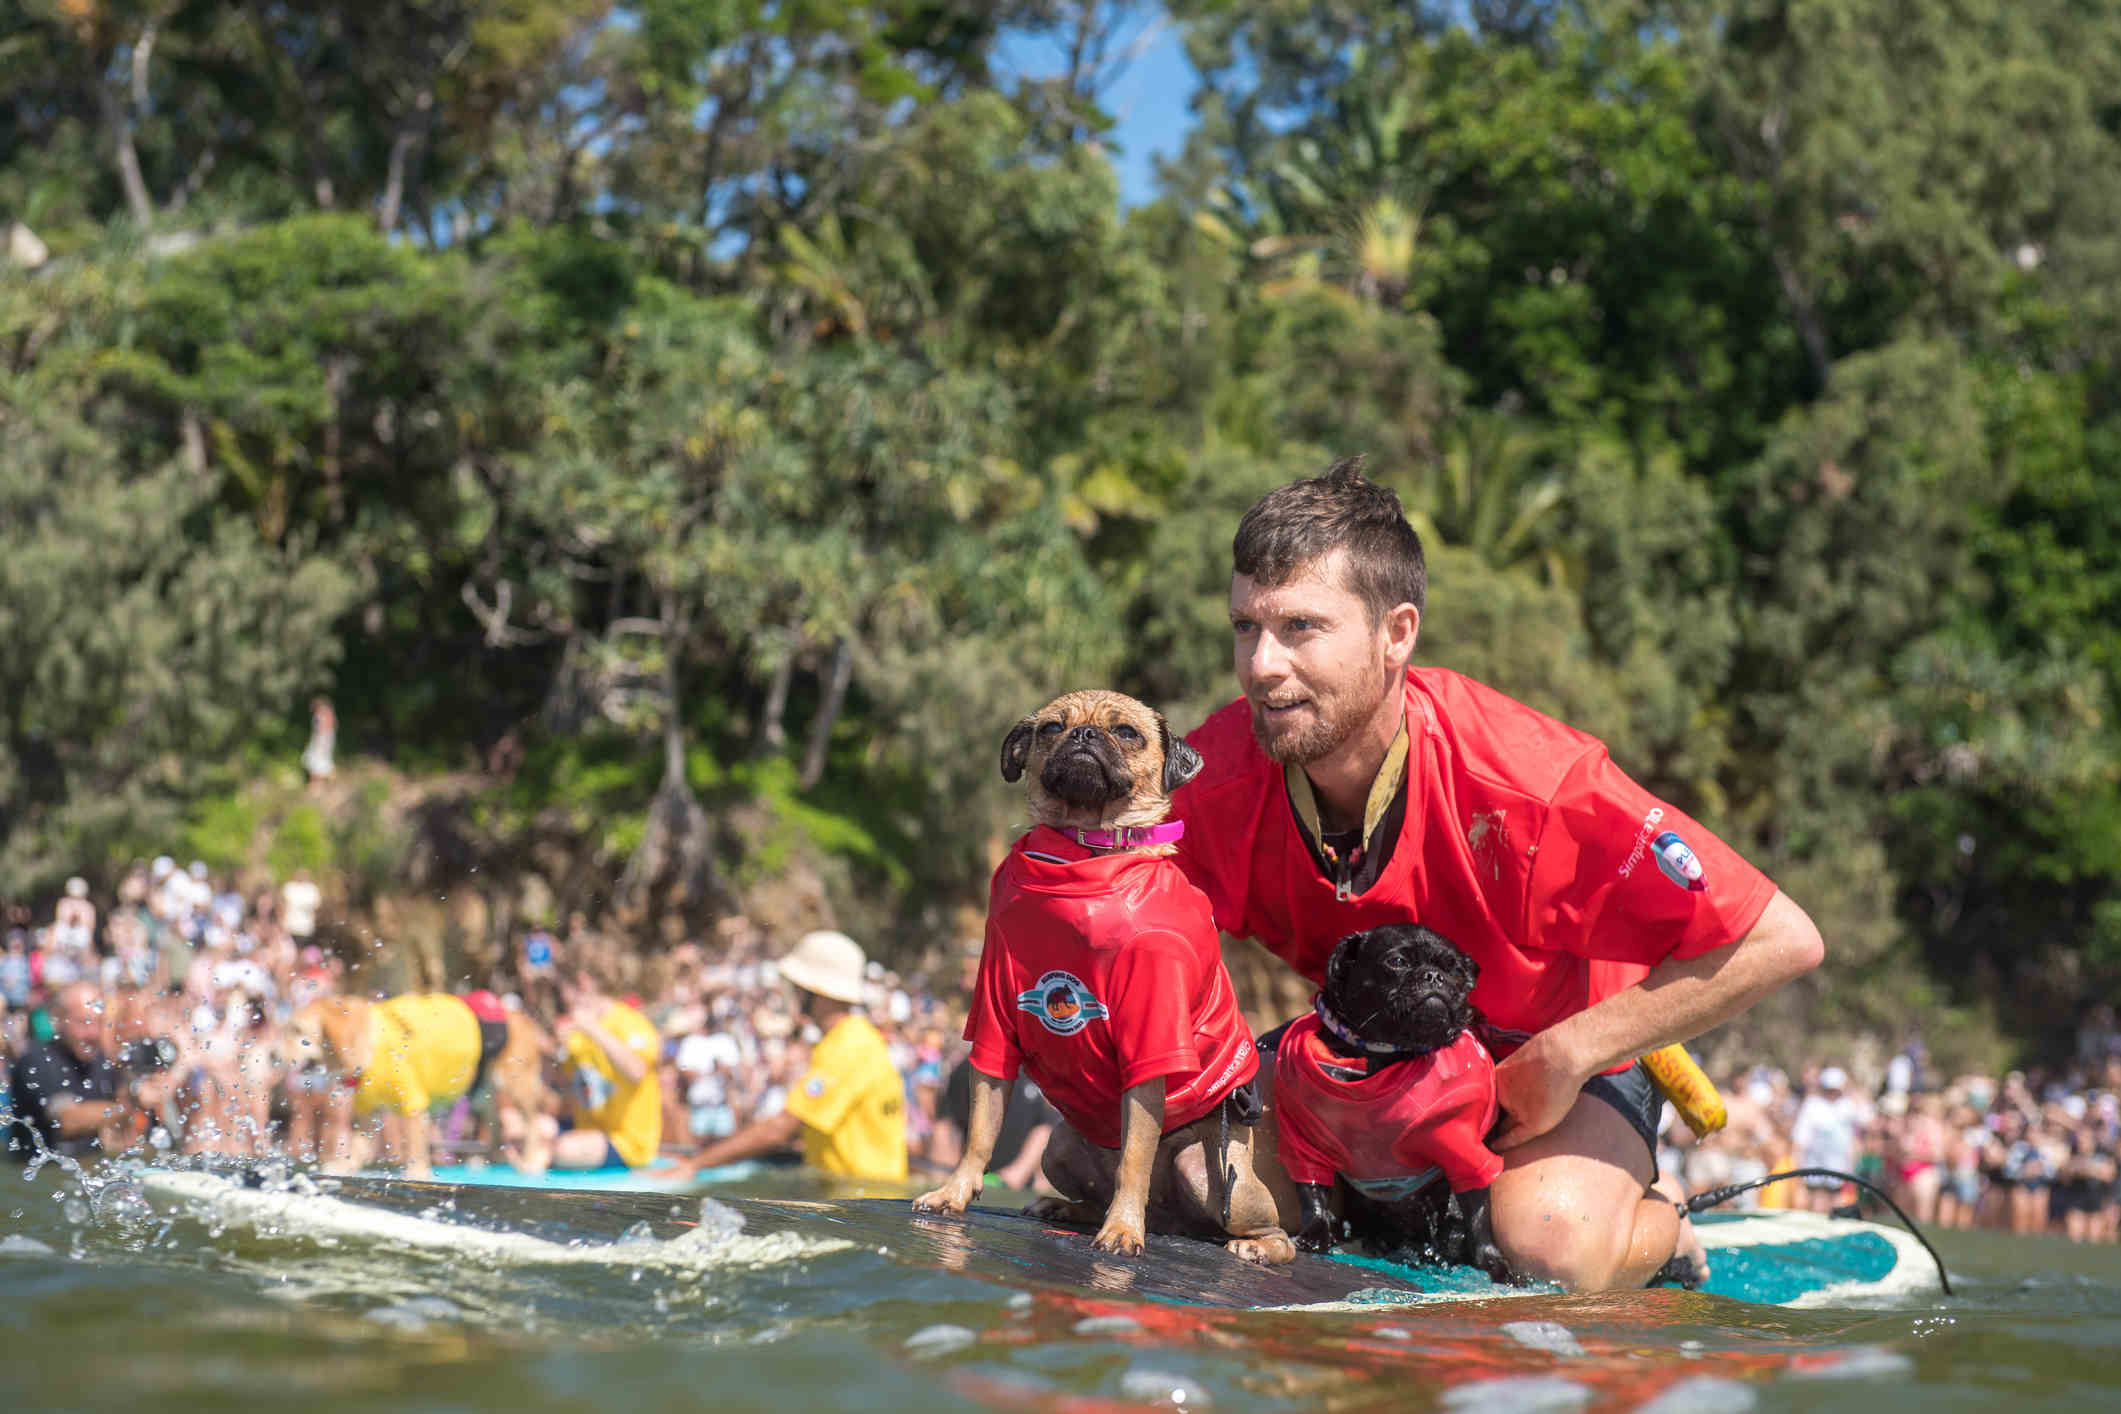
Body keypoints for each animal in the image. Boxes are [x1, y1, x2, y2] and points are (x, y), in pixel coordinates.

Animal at [286, 992, 551, 1178]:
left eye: (298, 1030)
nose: (277, 1056)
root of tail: (525, 1019)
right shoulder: (367, 1112)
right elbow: (357, 1144)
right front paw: (342, 1166)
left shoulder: (413, 1103)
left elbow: (414, 1144)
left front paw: (417, 1172)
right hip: (482, 1091)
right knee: (495, 1123)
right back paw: (487, 1160)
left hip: (515, 1084)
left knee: (534, 1120)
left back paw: (531, 1162)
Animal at [912, 691, 1289, 1263]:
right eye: (1051, 728)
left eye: (1127, 733)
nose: (1085, 735)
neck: (1083, 850)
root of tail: (1174, 1221)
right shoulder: (995, 1015)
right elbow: (979, 1131)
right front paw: (953, 1192)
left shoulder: (1150, 1038)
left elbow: (1134, 1158)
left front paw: (1123, 1231)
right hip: (1057, 1146)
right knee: (1097, 1190)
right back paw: (1066, 1208)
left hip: (1216, 1176)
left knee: (1272, 1229)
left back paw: (1253, 1246)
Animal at [1264, 924, 1518, 1288]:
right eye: (1397, 961)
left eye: (1456, 970)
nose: (1434, 976)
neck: (1384, 1057)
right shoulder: (1305, 1143)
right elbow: (1312, 1194)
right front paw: (1315, 1234)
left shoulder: (1465, 1152)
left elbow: (1479, 1216)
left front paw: (1495, 1265)